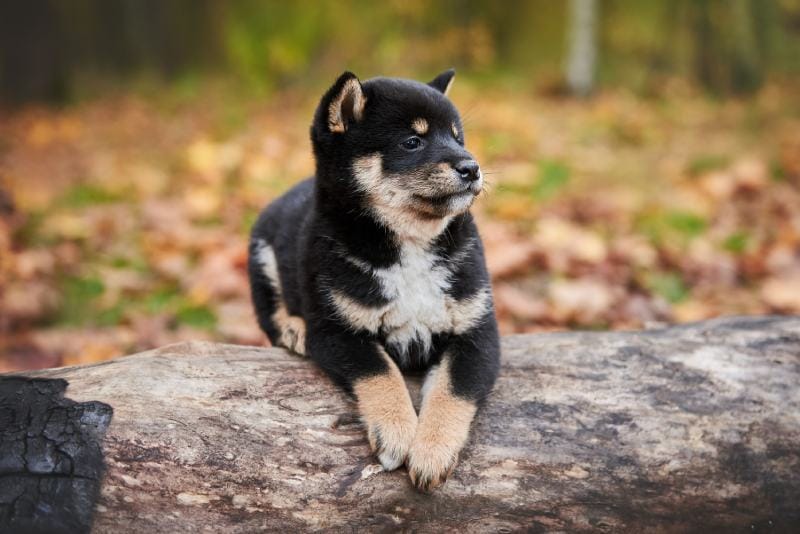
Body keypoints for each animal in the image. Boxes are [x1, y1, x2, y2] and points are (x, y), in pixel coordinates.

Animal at [248, 69, 500, 492]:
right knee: (271, 315)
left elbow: (452, 392)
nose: (472, 167)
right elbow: (381, 374)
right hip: (261, 257)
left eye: (457, 138)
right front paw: (397, 430)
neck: (411, 245)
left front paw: (432, 451)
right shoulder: (338, 332)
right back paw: (293, 329)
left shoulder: (476, 332)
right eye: (412, 141)